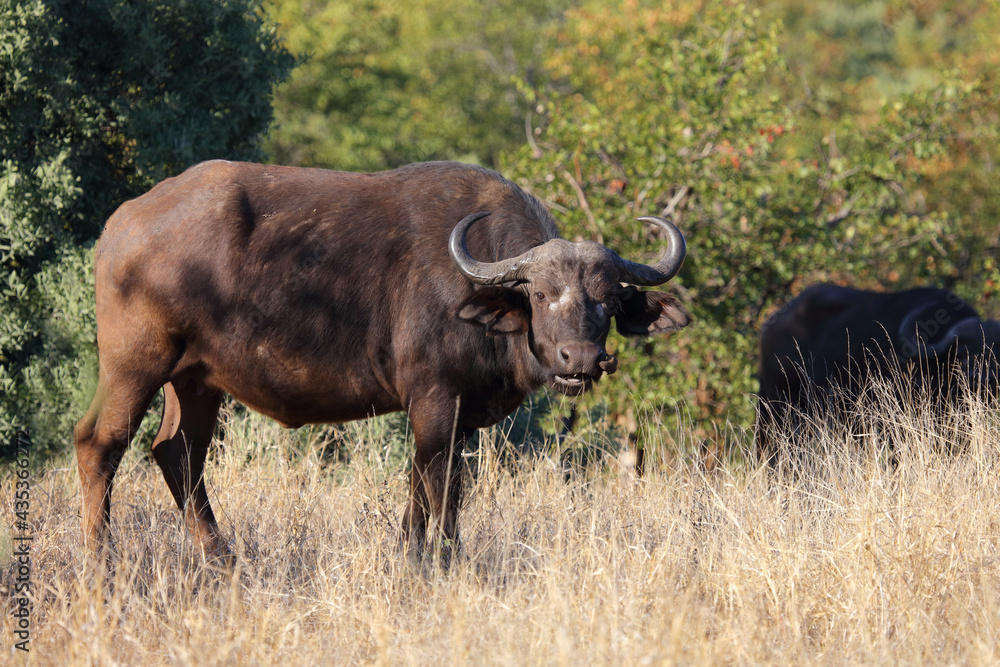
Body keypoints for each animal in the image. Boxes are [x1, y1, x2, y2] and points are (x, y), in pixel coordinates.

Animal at [76, 159, 688, 560]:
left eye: (608, 300)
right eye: (540, 294)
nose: (580, 358)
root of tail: (118, 225)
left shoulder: (459, 415)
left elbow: (435, 485)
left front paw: (415, 552)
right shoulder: (435, 400)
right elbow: (436, 482)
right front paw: (436, 558)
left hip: (196, 381)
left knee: (178, 452)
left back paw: (220, 555)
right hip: (135, 365)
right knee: (100, 444)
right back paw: (102, 557)